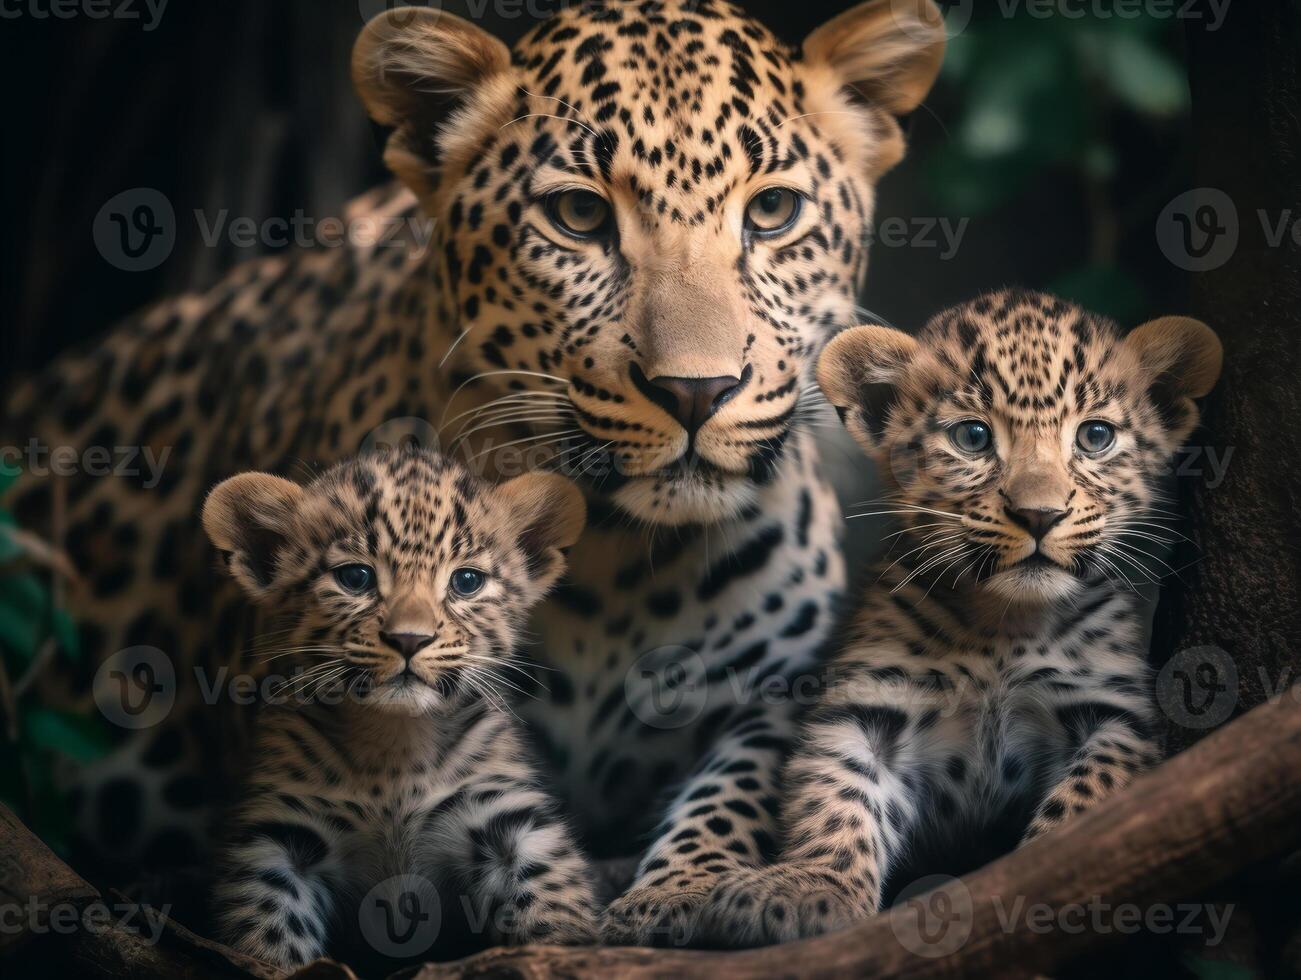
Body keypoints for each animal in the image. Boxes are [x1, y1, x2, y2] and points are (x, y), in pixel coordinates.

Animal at [7, 0, 947, 947]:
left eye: (774, 211)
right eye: (579, 215)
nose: (696, 390)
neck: (619, 561)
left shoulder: (776, 689)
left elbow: (747, 785)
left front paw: (687, 887)